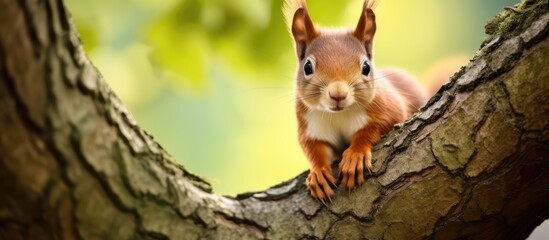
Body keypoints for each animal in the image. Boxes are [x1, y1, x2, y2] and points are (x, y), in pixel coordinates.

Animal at [284, 0, 430, 202]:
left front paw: (355, 155)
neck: (339, 115)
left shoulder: (388, 108)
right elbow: (313, 147)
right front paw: (318, 172)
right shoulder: (309, 124)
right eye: (307, 67)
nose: (338, 94)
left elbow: (371, 129)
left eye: (366, 67)